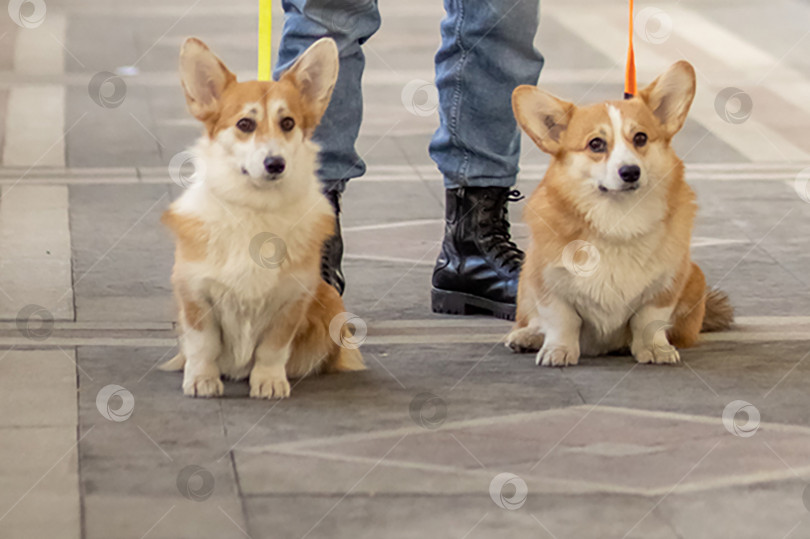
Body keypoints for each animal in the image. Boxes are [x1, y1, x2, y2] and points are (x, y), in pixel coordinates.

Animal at [159, 38, 362, 398]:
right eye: (245, 124)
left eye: (288, 123)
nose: (275, 163)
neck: (256, 208)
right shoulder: (195, 295)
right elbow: (203, 344)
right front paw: (201, 380)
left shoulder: (292, 301)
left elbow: (273, 348)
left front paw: (268, 382)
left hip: (330, 303)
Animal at [504, 62, 732, 368]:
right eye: (596, 144)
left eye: (640, 138)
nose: (630, 172)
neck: (619, 219)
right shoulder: (547, 280)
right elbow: (562, 320)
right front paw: (558, 350)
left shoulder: (665, 286)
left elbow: (648, 321)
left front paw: (654, 349)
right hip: (525, 280)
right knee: (533, 320)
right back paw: (527, 336)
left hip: (696, 278)